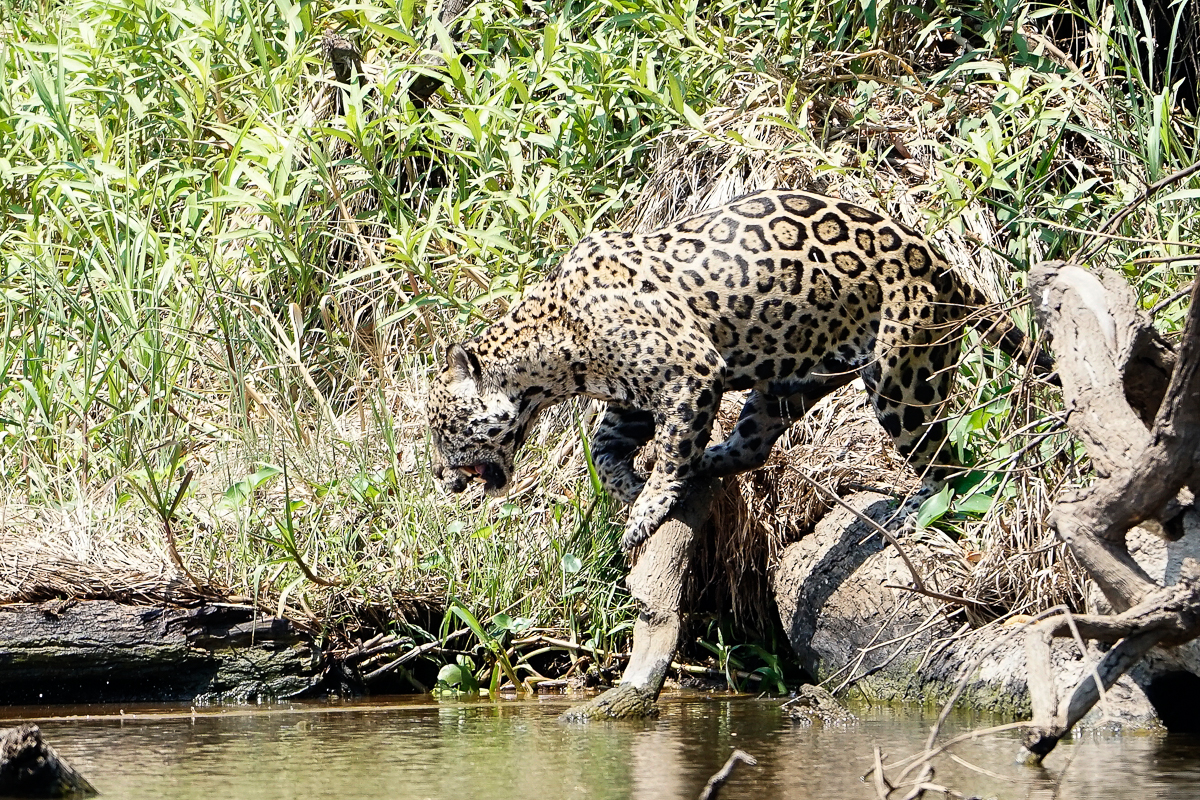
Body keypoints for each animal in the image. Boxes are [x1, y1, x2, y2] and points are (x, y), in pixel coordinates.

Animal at [426, 189, 1051, 552]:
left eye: (441, 429)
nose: (441, 478)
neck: (550, 354)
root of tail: (944, 263)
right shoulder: (632, 400)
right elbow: (605, 451)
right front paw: (632, 488)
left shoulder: (689, 370)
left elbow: (668, 450)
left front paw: (648, 507)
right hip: (792, 381)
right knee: (753, 444)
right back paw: (711, 463)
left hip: (903, 381)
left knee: (947, 466)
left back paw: (919, 511)